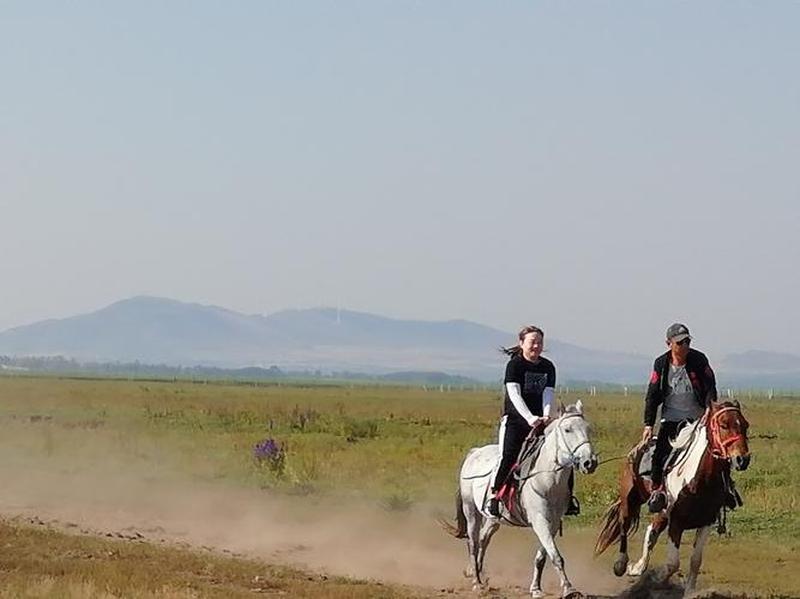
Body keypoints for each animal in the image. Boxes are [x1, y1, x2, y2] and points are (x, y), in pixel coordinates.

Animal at [446, 400, 596, 596]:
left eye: (588, 429)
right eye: (567, 430)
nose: (589, 462)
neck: (548, 480)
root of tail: (474, 453)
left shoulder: (553, 523)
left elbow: (542, 556)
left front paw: (536, 588)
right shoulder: (540, 520)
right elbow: (556, 556)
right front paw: (569, 589)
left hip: (493, 518)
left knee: (483, 539)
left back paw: (477, 573)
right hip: (471, 511)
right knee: (473, 542)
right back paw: (477, 582)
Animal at [592, 400, 752, 596]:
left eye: (745, 425)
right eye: (724, 425)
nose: (742, 459)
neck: (699, 480)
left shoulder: (705, 523)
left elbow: (695, 560)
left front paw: (689, 592)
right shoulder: (676, 523)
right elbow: (673, 564)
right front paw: (656, 580)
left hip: (661, 511)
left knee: (651, 531)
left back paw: (638, 567)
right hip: (631, 499)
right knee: (625, 524)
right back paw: (622, 565)